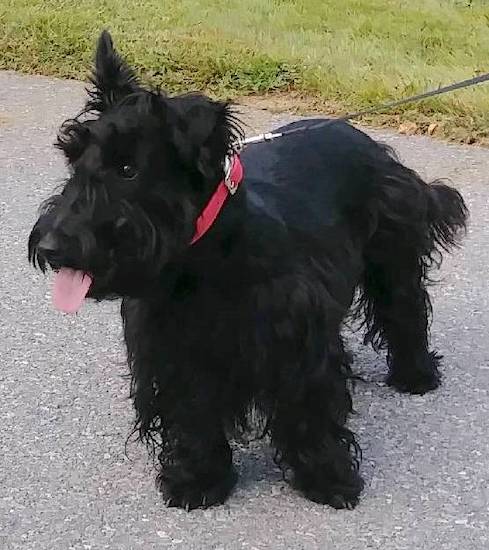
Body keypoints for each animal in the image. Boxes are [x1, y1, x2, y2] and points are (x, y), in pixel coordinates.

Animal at [28, 32, 468, 512]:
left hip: (392, 258)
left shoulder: (297, 343)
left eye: (128, 169)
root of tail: (356, 133)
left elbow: (310, 411)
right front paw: (198, 478)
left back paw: (416, 375)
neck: (204, 263)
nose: (51, 247)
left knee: (403, 311)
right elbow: (192, 415)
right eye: (73, 159)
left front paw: (328, 478)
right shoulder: (175, 350)